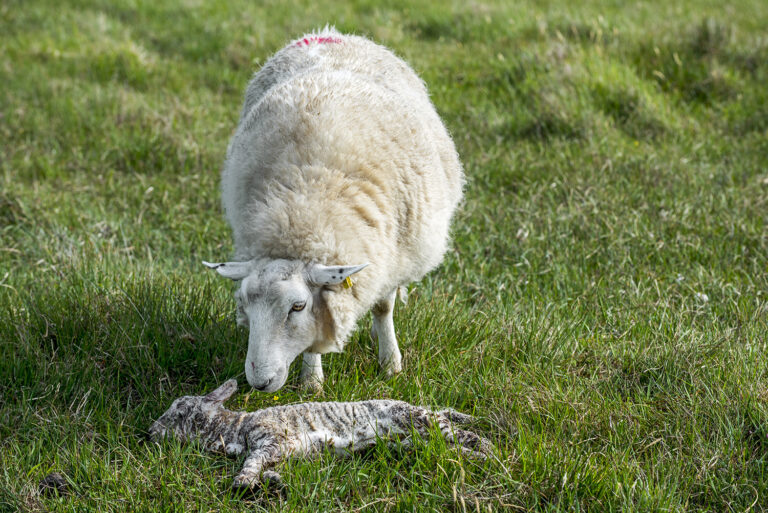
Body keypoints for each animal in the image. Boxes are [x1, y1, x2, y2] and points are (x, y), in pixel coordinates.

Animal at [148, 380, 492, 492]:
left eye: (179, 411)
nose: (150, 432)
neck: (236, 429)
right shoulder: (283, 451)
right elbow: (268, 468)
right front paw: (273, 482)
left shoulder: (276, 438)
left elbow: (252, 460)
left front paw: (243, 482)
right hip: (413, 438)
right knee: (445, 435)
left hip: (415, 419)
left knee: (456, 431)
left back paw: (488, 447)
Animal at [202, 26, 462, 390]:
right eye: (245, 304)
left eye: (297, 306)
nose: (259, 381)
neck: (305, 204)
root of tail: (330, 33)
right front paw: (312, 381)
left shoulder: (391, 257)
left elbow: (383, 308)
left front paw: (390, 364)